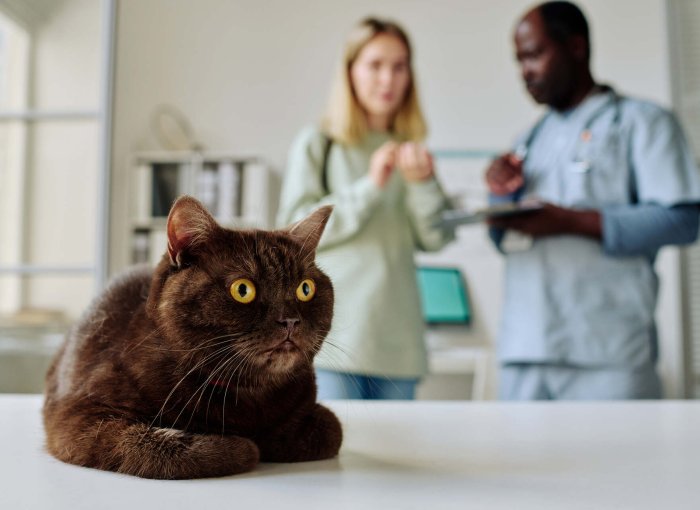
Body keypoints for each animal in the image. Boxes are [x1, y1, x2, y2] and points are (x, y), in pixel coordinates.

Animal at [42, 195, 344, 478]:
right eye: (242, 290)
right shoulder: (80, 416)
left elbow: (331, 429)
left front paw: (271, 439)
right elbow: (154, 449)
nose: (290, 320)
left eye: (305, 288)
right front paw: (242, 446)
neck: (247, 394)